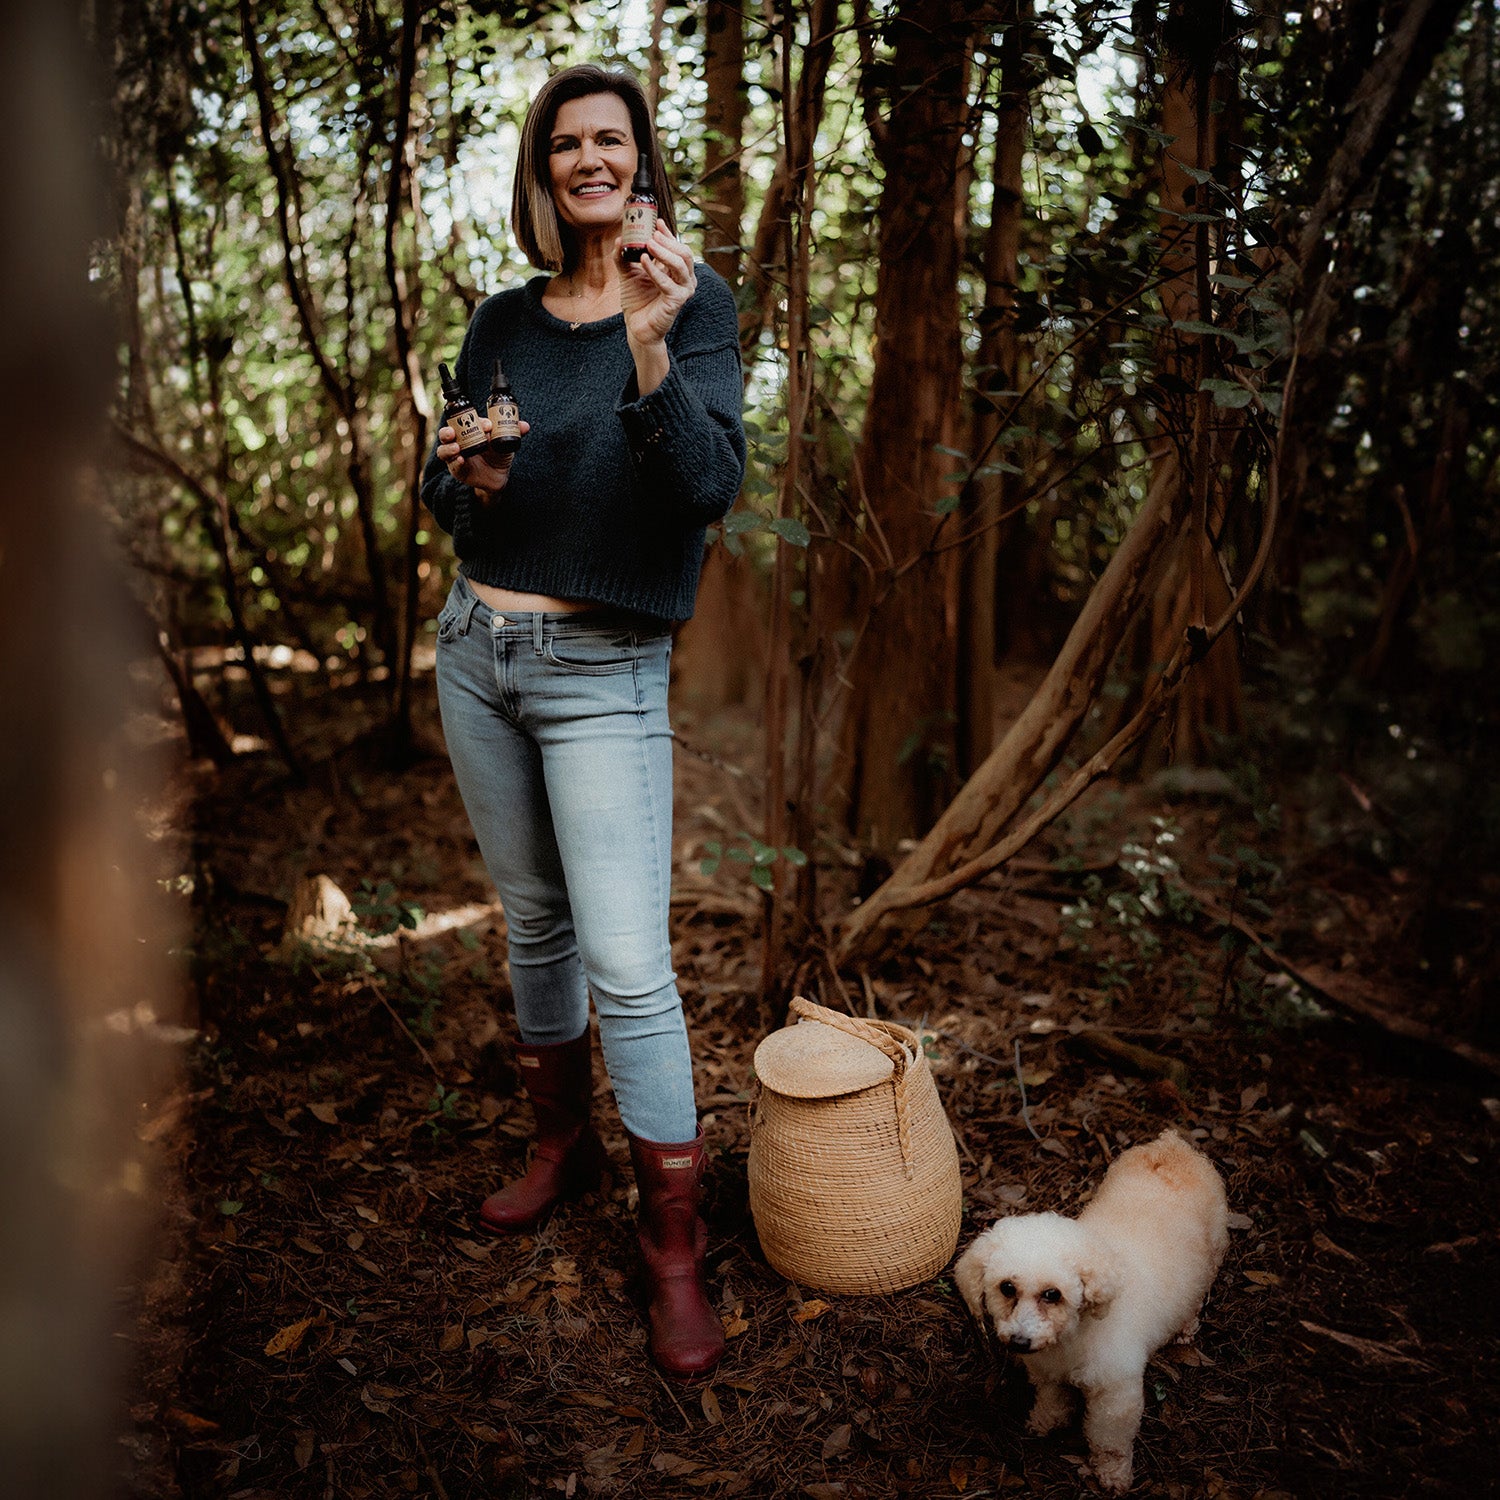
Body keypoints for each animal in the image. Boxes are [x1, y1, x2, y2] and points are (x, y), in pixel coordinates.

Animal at [954, 1128, 1224, 1494]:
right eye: (1007, 1288)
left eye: (1052, 1294)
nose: (1020, 1342)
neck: (1072, 1336)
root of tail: (1171, 1145)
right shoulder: (1048, 1373)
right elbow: (1052, 1399)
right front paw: (1045, 1421)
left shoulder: (1115, 1394)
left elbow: (1110, 1441)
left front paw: (1113, 1474)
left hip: (1212, 1255)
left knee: (1198, 1292)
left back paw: (1185, 1326)